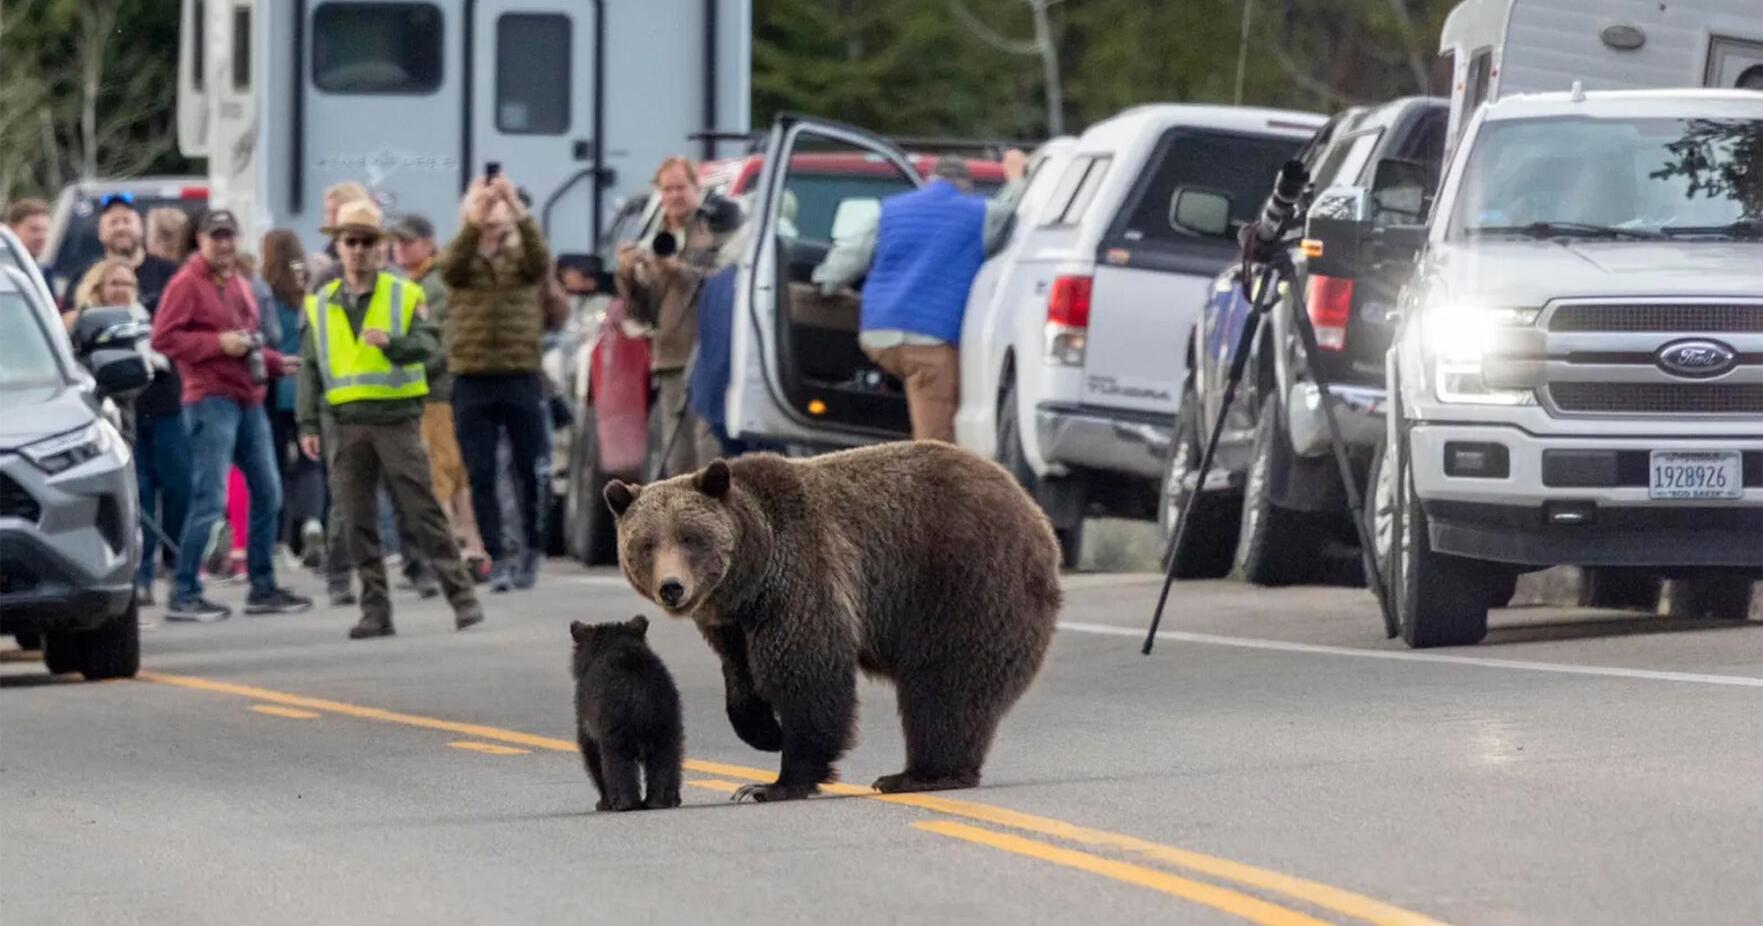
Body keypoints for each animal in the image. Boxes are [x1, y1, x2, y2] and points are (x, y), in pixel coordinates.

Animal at [569, 615, 685, 811]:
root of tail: (639, 692)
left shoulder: (585, 712)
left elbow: (590, 749)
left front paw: (603, 802)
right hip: (665, 719)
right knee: (667, 757)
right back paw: (662, 800)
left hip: (614, 723)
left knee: (617, 762)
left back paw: (624, 802)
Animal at [602, 440, 1061, 802]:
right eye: (646, 544)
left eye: (690, 538)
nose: (672, 587)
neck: (750, 578)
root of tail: (1036, 514)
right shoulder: (732, 624)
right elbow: (741, 678)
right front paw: (765, 732)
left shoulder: (801, 578)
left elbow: (808, 675)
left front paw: (773, 783)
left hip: (963, 584)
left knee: (945, 684)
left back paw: (920, 774)